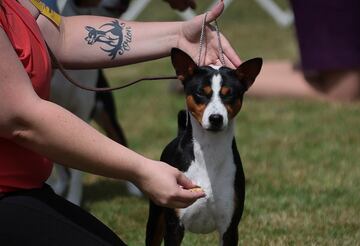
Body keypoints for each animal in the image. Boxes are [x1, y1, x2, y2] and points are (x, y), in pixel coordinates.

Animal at [146, 48, 262, 246]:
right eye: (201, 92)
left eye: (229, 94)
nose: (216, 118)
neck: (209, 153)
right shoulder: (174, 226)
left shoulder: (229, 227)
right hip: (156, 217)